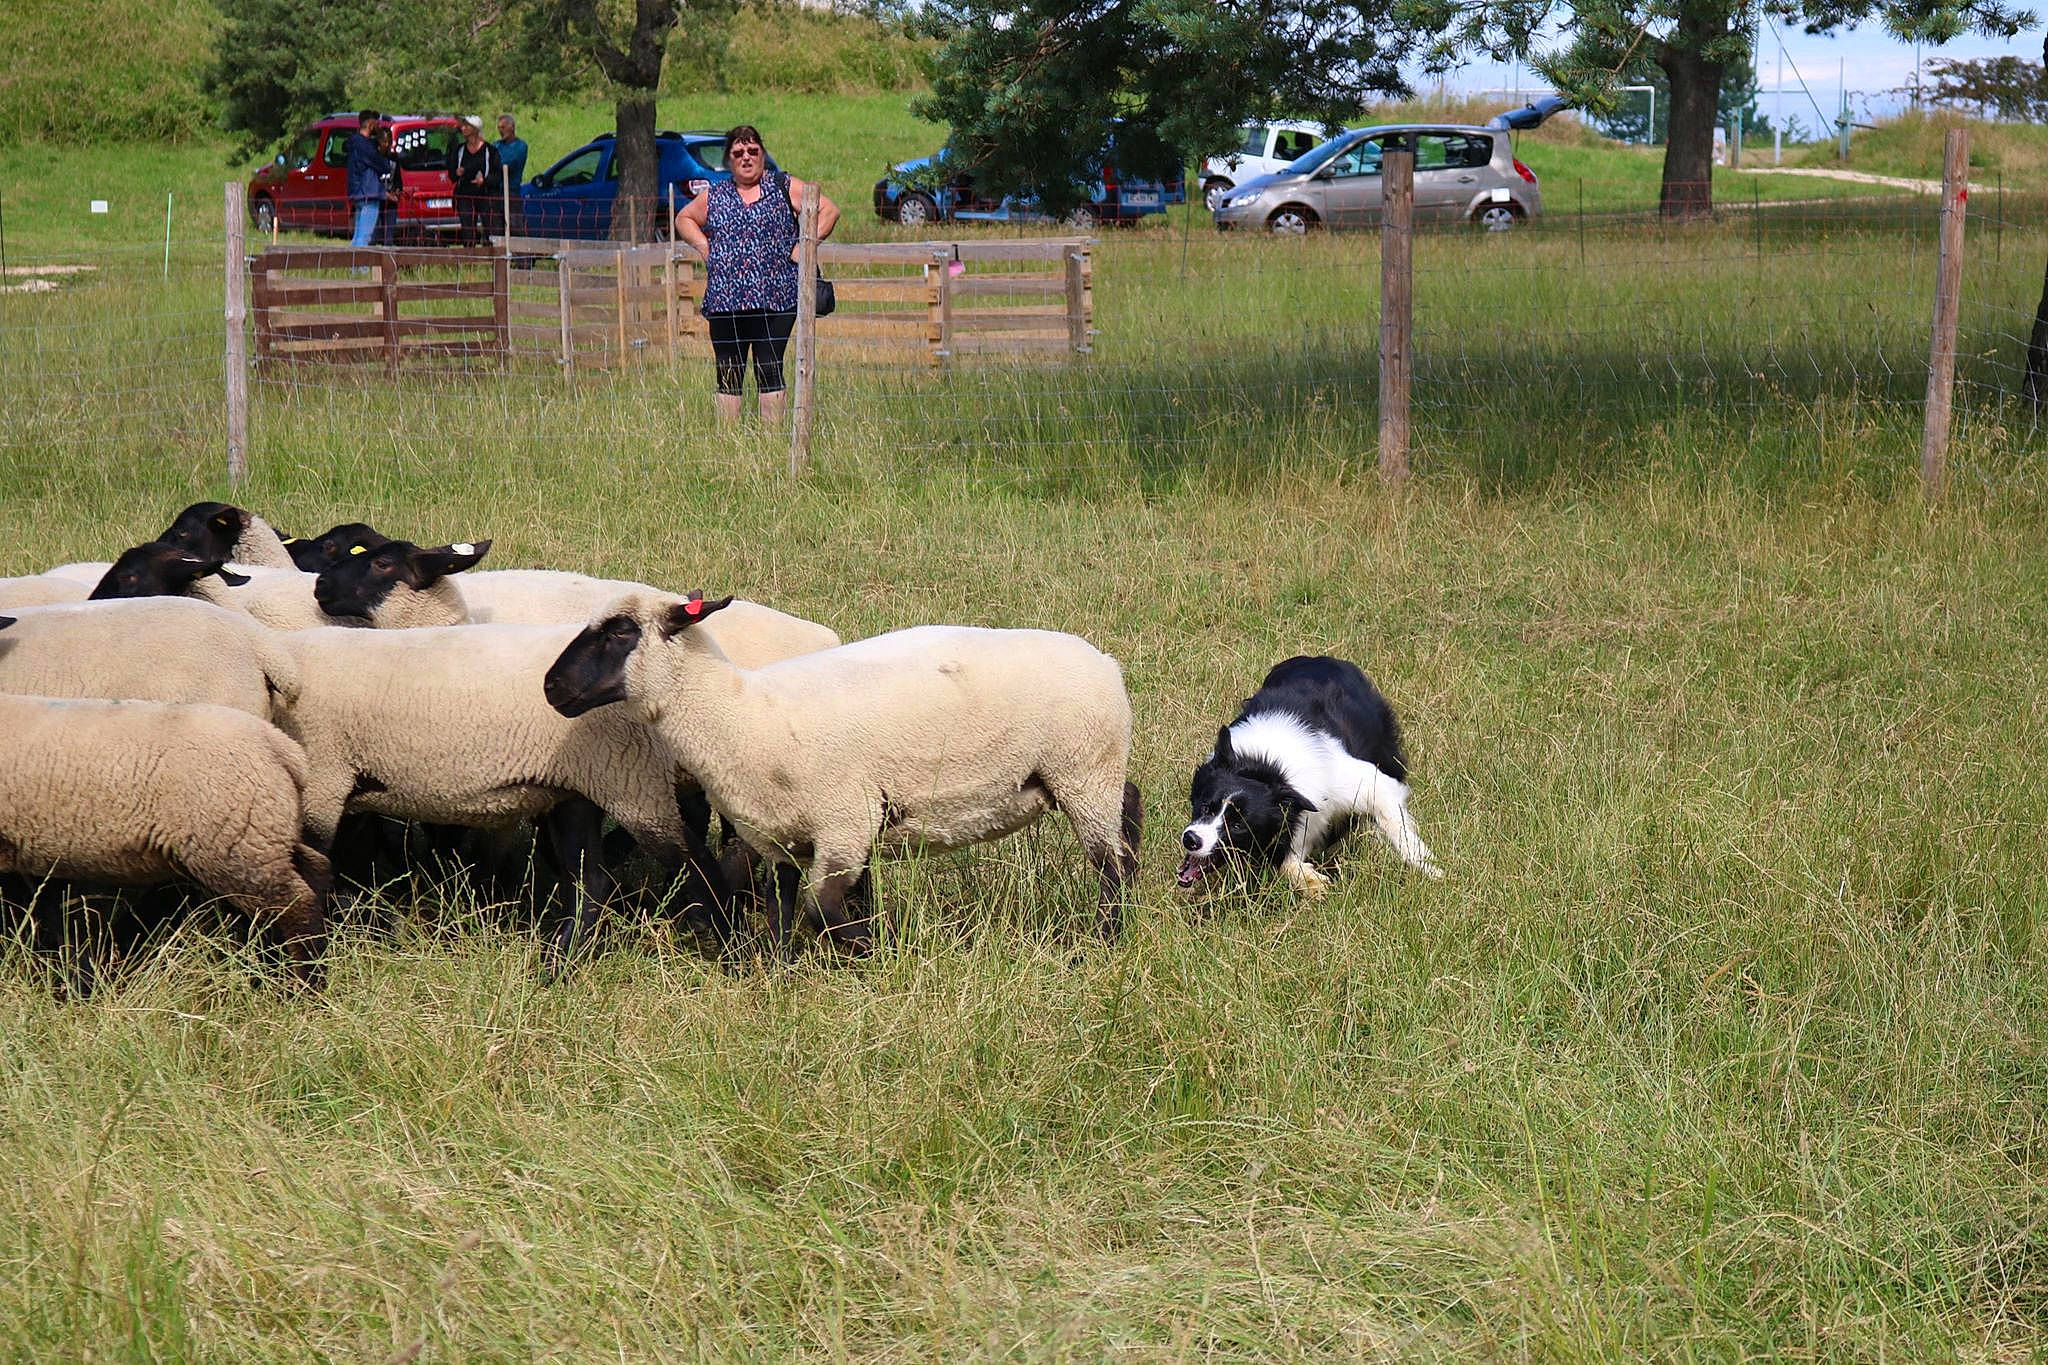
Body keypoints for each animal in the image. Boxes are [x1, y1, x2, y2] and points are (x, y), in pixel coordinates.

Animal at [0, 682, 330, 983]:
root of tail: (281, 746)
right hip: (262, 831)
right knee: (313, 871)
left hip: (235, 841)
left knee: (296, 905)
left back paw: (305, 983)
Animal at [543, 591, 1143, 955]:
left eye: (621, 631)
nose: (551, 688)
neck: (743, 714)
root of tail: (1105, 662)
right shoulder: (778, 837)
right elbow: (783, 908)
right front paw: (779, 971)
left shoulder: (844, 824)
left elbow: (822, 911)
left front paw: (882, 949)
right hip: (1084, 772)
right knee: (1130, 806)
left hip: (1083, 769)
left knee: (1108, 860)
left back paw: (1109, 935)